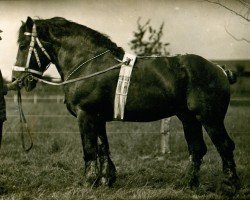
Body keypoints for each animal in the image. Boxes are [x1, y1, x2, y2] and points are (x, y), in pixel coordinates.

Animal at [12, 16, 239, 194]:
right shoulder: (97, 118)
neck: (89, 64)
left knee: (225, 146)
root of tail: (219, 69)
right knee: (197, 149)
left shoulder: (86, 115)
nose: (17, 79)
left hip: (210, 118)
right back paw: (189, 184)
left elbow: (89, 149)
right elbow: (103, 147)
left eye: (23, 46)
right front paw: (106, 179)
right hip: (189, 119)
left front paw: (88, 182)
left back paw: (230, 185)